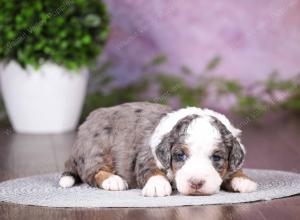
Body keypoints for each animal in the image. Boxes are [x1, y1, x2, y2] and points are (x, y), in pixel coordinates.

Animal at [59, 101, 256, 196]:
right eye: (180, 156)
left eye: (216, 157)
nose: (196, 183)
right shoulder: (147, 155)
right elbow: (150, 169)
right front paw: (157, 186)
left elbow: (235, 170)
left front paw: (243, 180)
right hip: (97, 148)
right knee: (93, 172)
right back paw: (113, 181)